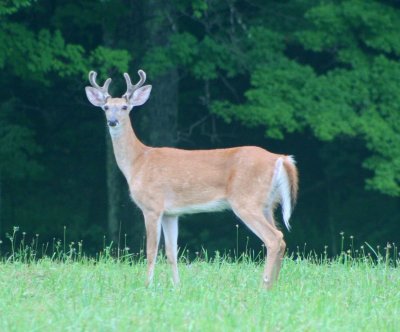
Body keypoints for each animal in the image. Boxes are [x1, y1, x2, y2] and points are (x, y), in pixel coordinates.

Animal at [84, 69, 296, 288]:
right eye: (106, 107)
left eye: (124, 107)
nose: (112, 121)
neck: (137, 162)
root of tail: (280, 158)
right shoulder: (171, 213)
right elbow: (171, 252)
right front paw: (177, 286)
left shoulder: (152, 206)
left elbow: (151, 251)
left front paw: (147, 285)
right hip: (268, 203)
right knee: (282, 239)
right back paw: (274, 285)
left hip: (246, 200)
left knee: (274, 238)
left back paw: (264, 285)